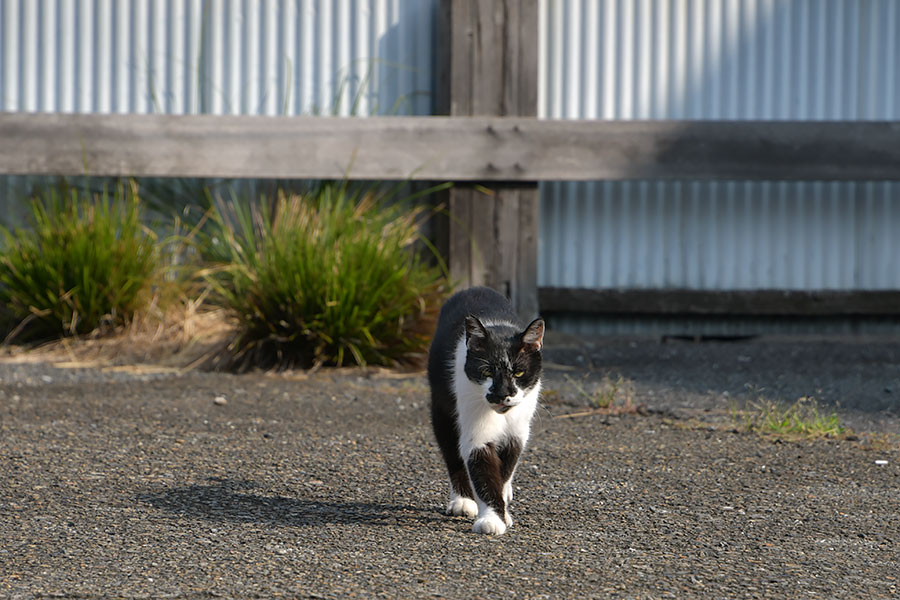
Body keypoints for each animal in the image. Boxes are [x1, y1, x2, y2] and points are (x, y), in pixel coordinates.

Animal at [428, 286, 544, 536]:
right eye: (487, 371)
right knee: (452, 452)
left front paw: (503, 511)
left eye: (518, 373)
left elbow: (506, 468)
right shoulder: (475, 428)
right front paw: (492, 519)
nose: (502, 394)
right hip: (442, 408)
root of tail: (473, 288)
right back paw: (462, 501)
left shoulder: (517, 434)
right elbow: (484, 471)